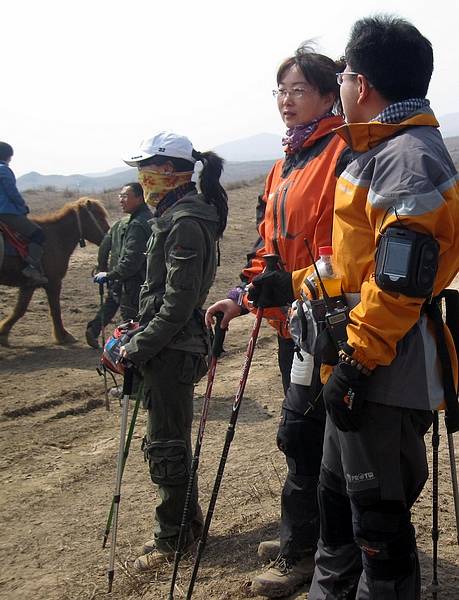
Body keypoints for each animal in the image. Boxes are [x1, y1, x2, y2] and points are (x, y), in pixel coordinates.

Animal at [0, 197, 110, 346]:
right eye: (99, 216)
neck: (56, 236)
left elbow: (19, 310)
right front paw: (63, 336)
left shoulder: (29, 285)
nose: (109, 234)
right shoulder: (54, 282)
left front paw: (3, 333)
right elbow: (55, 310)